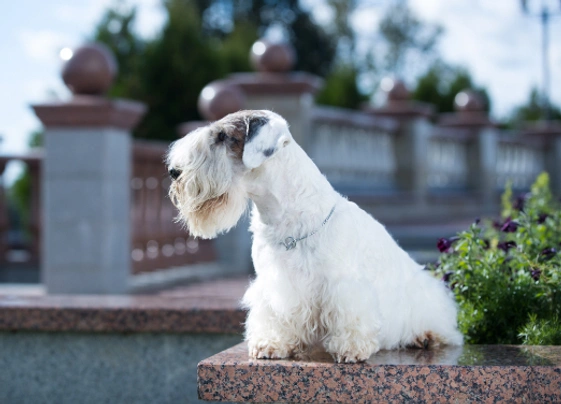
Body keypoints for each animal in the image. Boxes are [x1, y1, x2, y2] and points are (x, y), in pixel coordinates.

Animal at [167, 109, 464, 362]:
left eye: (222, 136)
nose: (174, 172)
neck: (288, 218)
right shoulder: (274, 285)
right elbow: (275, 316)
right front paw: (272, 343)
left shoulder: (343, 286)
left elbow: (351, 316)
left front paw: (351, 348)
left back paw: (426, 336)